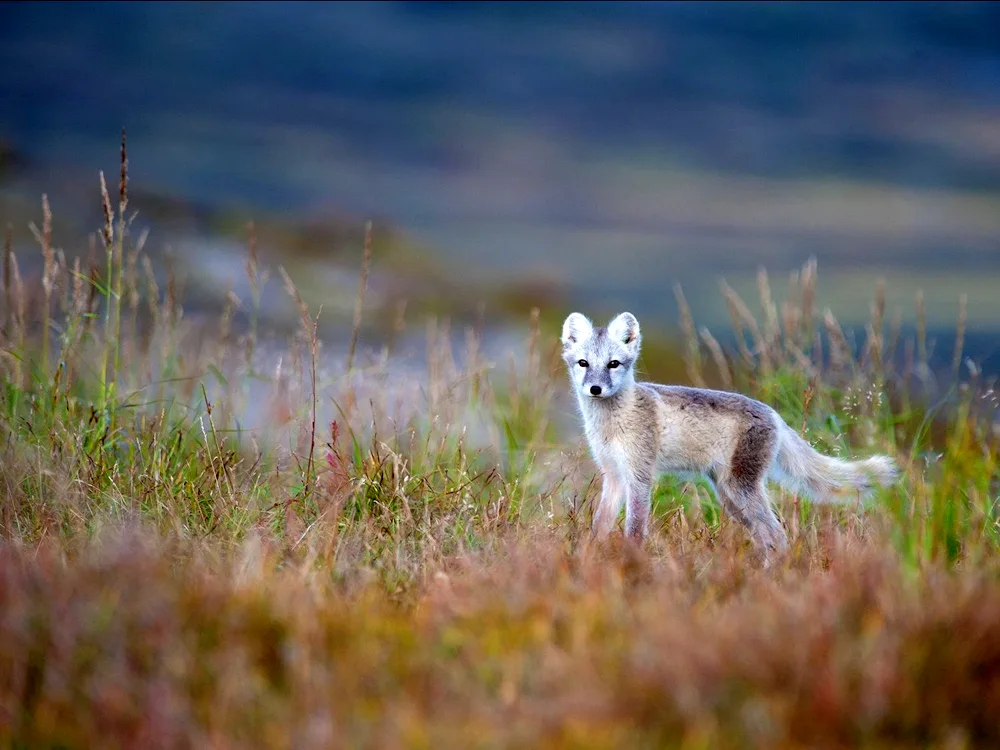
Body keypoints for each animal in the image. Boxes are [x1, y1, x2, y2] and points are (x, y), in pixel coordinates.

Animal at [564, 312, 900, 564]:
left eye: (613, 364)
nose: (595, 389)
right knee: (767, 537)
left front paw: (630, 562)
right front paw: (589, 555)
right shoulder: (613, 475)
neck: (611, 423)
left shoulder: (640, 475)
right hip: (729, 496)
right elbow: (600, 524)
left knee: (778, 535)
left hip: (741, 490)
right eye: (583, 363)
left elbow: (635, 528)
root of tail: (774, 414)